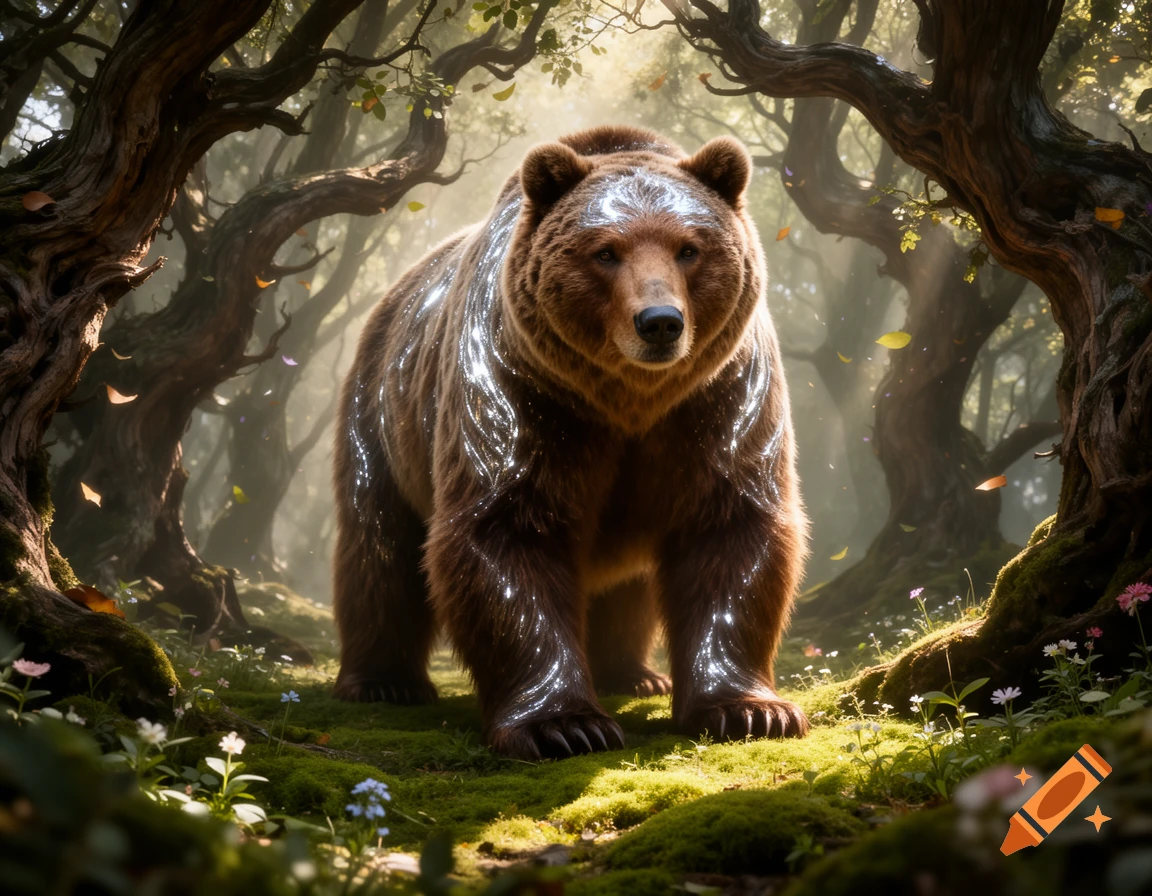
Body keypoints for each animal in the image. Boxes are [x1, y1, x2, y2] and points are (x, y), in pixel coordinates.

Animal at [331, 124, 810, 759]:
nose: (660, 321)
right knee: (378, 543)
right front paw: (564, 725)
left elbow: (731, 527)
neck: (627, 400)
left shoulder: (717, 398)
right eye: (605, 251)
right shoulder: (523, 388)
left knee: (628, 585)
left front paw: (752, 710)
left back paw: (634, 673)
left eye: (689, 248)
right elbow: (507, 529)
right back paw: (384, 681)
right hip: (384, 412)